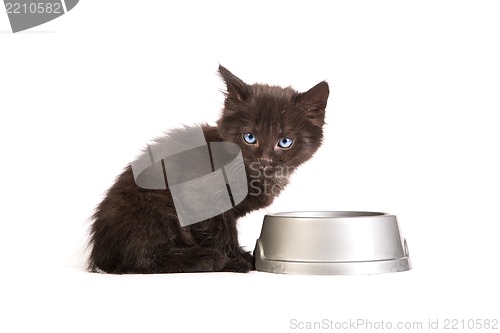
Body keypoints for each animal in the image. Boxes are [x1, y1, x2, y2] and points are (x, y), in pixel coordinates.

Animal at [87, 65, 328, 272]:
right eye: (249, 137)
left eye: (285, 142)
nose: (265, 160)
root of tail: (100, 253)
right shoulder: (200, 197)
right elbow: (220, 231)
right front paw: (237, 260)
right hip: (156, 206)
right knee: (142, 258)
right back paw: (205, 258)